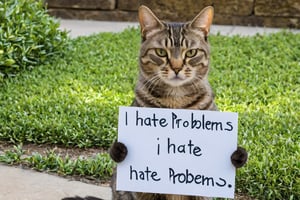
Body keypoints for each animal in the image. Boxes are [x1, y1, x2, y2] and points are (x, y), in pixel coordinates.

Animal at [109, 5, 247, 200]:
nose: (176, 67)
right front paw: (120, 150)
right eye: (160, 52)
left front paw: (237, 155)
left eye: (191, 53)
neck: (176, 100)